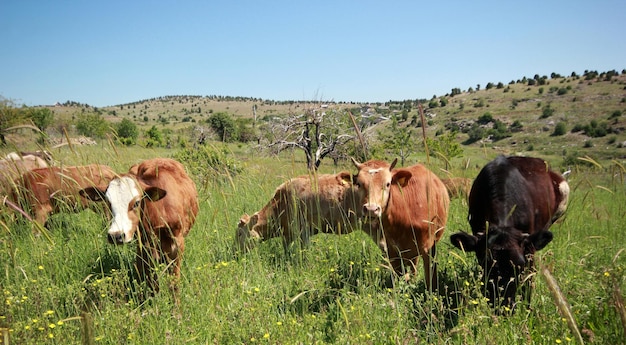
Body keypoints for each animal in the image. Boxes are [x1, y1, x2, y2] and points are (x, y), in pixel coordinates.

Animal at [80, 157, 197, 298]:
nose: (116, 236)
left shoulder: (177, 243)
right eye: (108, 202)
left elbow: (174, 284)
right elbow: (152, 282)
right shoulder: (145, 247)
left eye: (136, 203)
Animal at [352, 159, 448, 290]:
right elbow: (398, 276)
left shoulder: (428, 248)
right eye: (359, 184)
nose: (371, 209)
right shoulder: (392, 249)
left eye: (388, 184)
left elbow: (429, 278)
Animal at [446, 155, 568, 310]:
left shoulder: (529, 249)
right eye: (486, 265)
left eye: (520, 266)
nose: (504, 308)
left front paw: (527, 309)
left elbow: (529, 280)